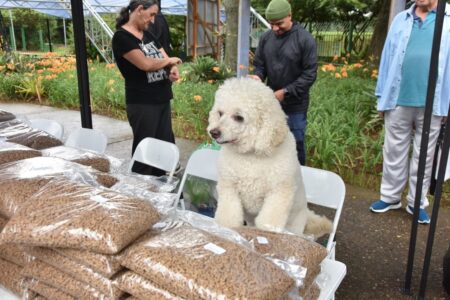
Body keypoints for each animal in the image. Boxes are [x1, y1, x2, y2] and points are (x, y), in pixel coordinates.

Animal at [207, 78, 330, 239]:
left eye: (239, 117)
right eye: (220, 113)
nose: (213, 132)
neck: (251, 156)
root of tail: (307, 215)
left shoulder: (278, 194)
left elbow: (268, 222)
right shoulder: (229, 188)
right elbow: (229, 217)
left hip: (295, 224)